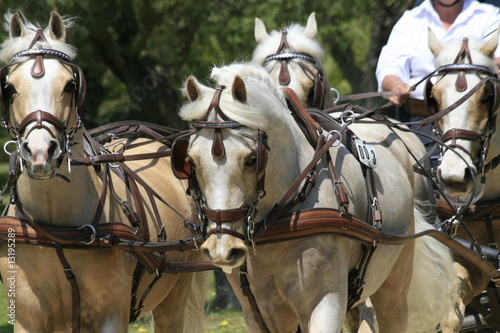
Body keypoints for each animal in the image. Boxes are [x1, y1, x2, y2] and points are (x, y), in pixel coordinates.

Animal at [0, 11, 207, 332]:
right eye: (9, 88)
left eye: (69, 85)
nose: (40, 152)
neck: (57, 229)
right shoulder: (27, 318)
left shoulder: (111, 314)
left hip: (175, 292)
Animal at [173, 63, 458, 332]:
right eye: (191, 161)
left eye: (252, 159)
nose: (222, 247)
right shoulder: (260, 314)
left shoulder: (326, 302)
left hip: (395, 284)